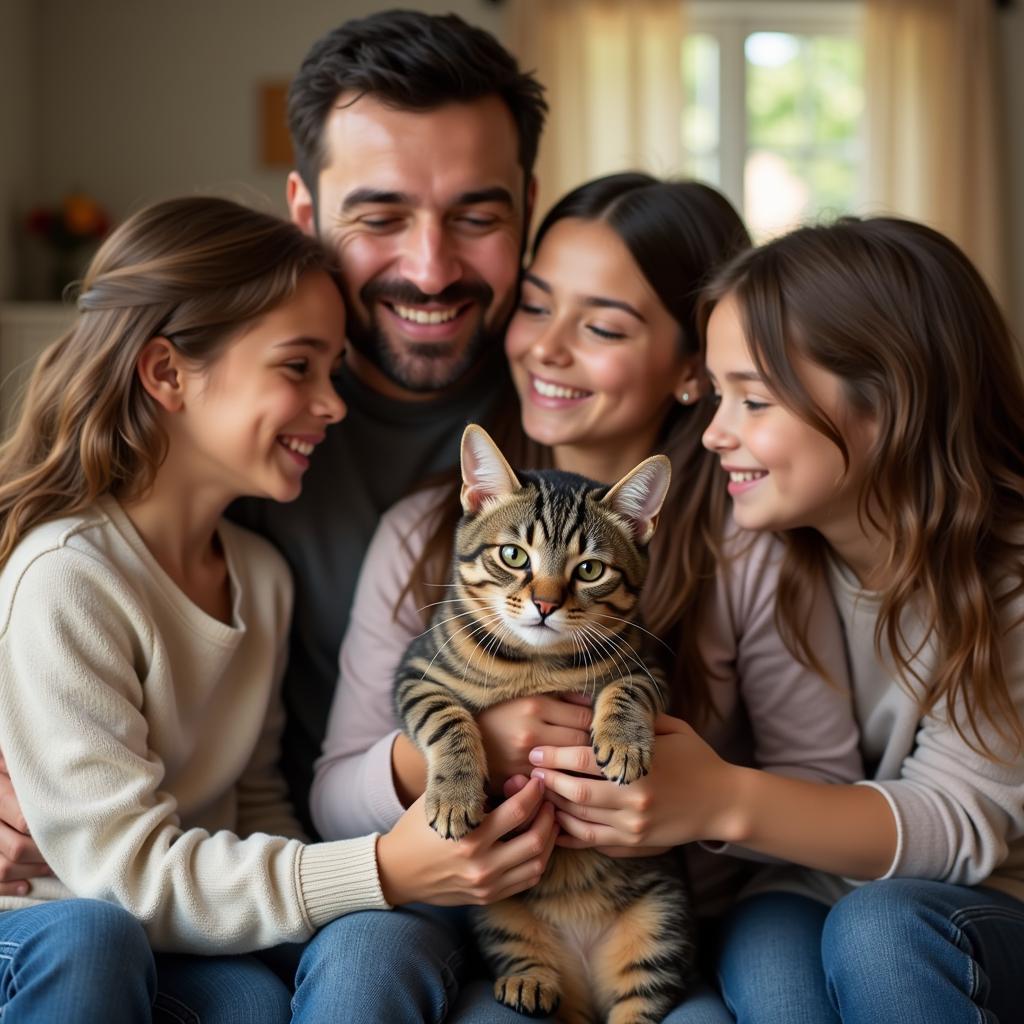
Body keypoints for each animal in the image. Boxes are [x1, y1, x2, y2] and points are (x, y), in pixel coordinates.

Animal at [395, 423, 692, 1024]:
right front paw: (454, 795)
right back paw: (530, 982)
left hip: (660, 920)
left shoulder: (650, 669)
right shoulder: (415, 674)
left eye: (590, 569)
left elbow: (628, 689)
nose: (545, 604)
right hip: (497, 913)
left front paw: (625, 743)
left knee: (638, 1002)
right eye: (513, 555)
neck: (535, 664)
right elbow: (446, 716)